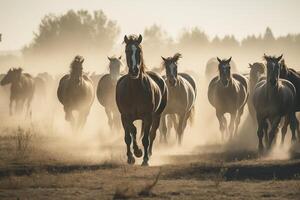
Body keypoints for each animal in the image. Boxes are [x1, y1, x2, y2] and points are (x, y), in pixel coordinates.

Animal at [115, 34, 168, 167]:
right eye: (127, 51)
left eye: (139, 51)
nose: (134, 70)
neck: (135, 90)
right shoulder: (125, 116)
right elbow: (130, 135)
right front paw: (133, 156)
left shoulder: (148, 117)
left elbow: (145, 138)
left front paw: (144, 159)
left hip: (157, 116)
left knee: (152, 135)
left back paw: (148, 154)